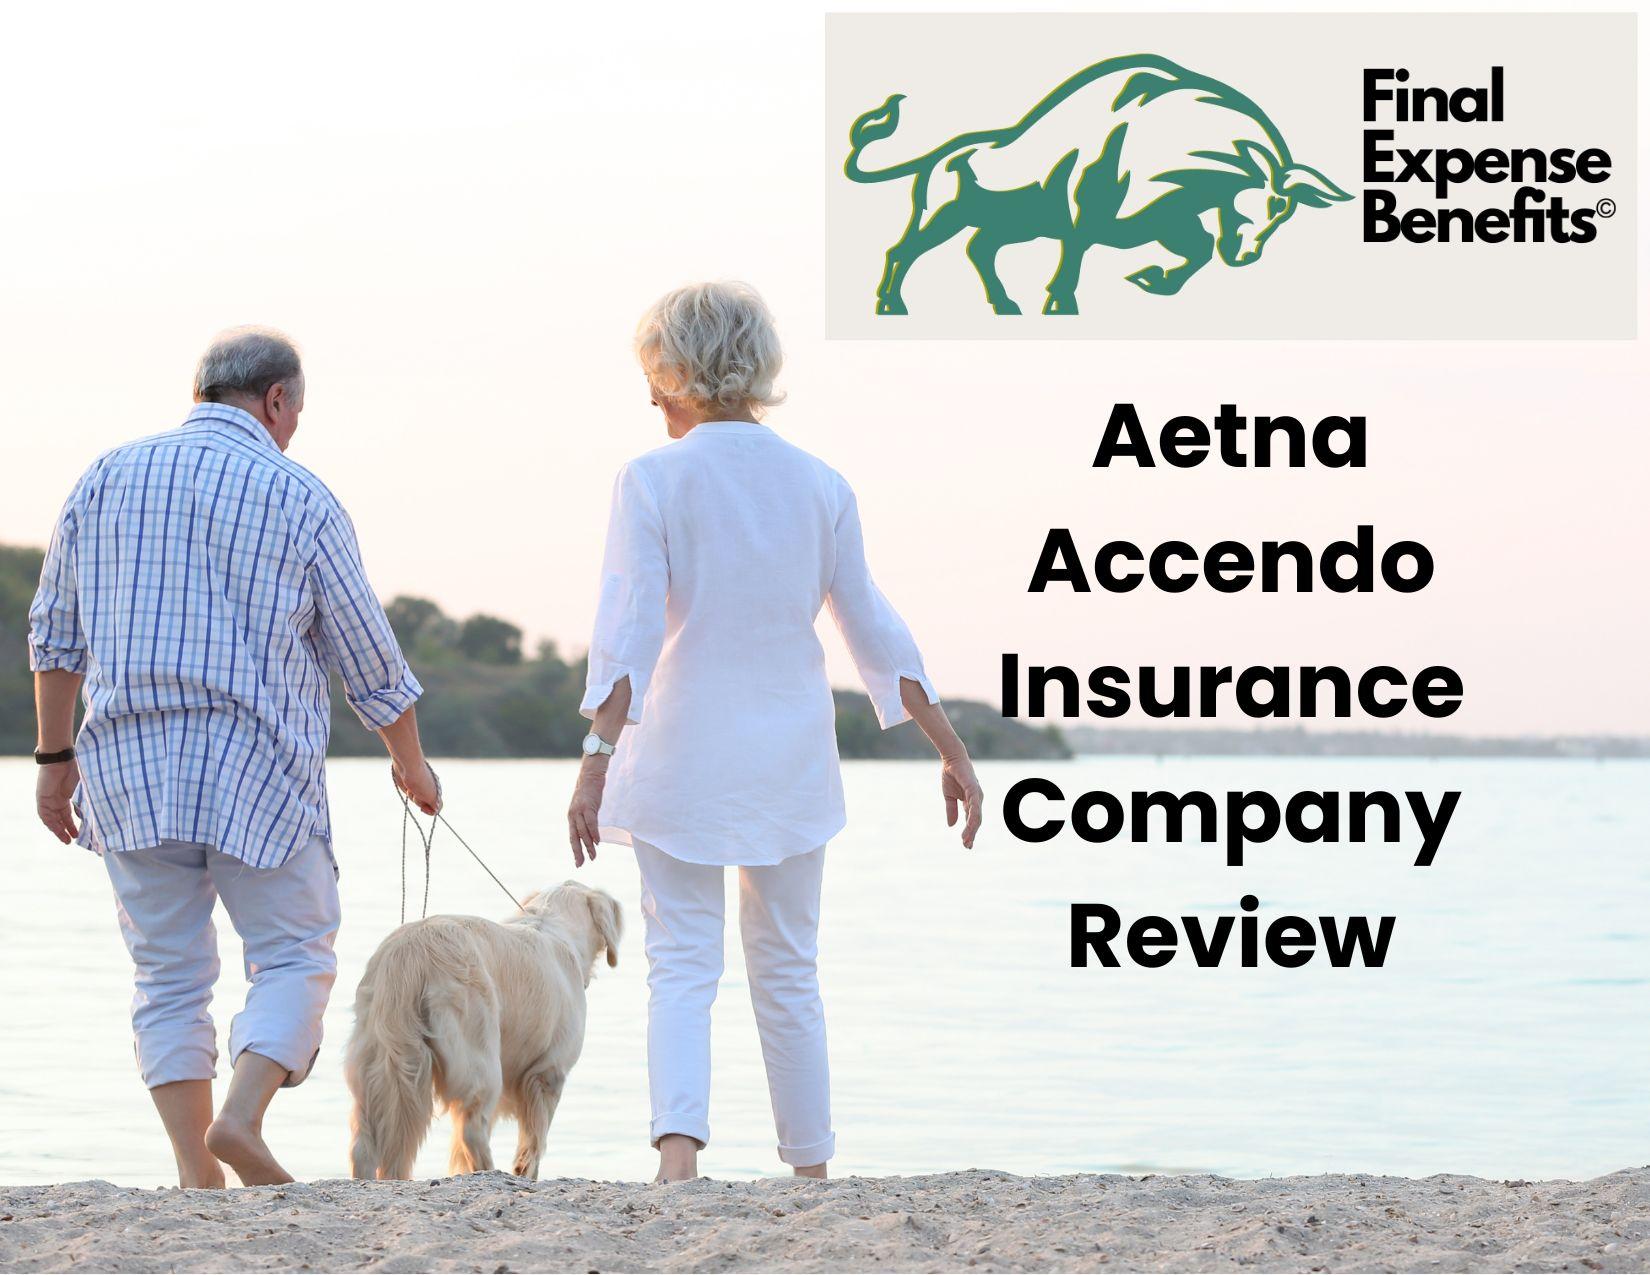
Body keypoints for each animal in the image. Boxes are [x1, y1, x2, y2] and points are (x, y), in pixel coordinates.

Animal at [344, 877, 620, 1180]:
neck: (553, 925)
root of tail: (410, 955)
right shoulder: (548, 1073)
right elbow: (534, 1140)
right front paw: (525, 1172)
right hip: (479, 1055)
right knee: (472, 1129)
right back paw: (490, 1171)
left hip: (377, 1060)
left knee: (363, 1144)